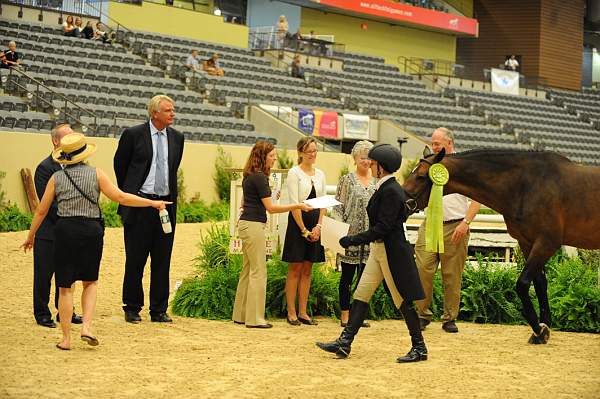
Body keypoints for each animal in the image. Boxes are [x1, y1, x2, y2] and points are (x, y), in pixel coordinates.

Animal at [400, 149, 600, 344]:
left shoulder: (547, 242)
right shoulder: (527, 242)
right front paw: (543, 330)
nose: (403, 204)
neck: (527, 184)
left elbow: (522, 284)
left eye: (421, 176)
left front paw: (538, 329)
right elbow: (540, 283)